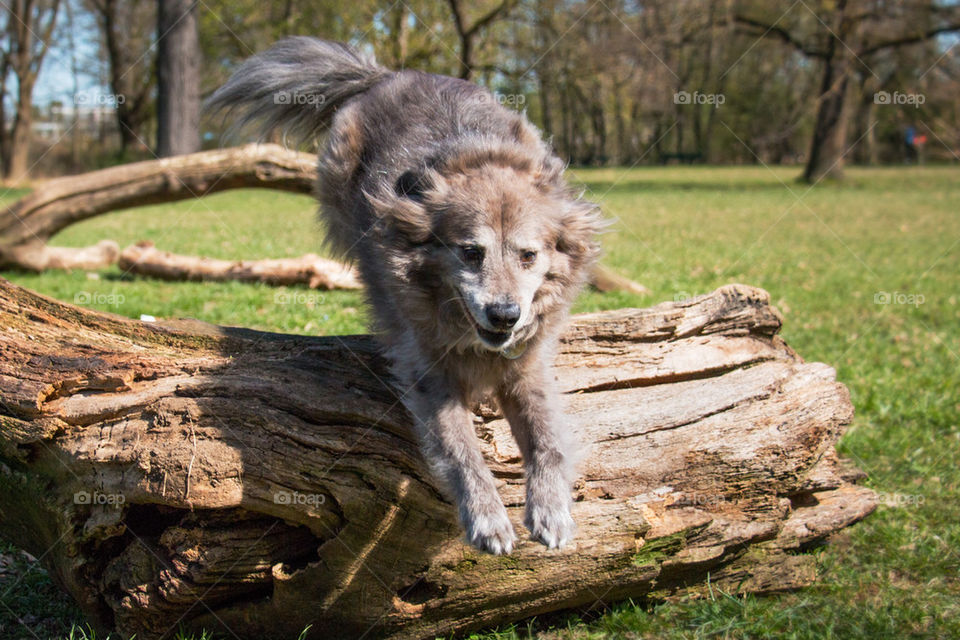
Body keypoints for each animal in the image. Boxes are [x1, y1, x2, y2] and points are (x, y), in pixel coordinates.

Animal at [208, 37, 600, 552]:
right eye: (470, 252)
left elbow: (547, 439)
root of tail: (391, 76)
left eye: (528, 255)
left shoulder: (527, 366)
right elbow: (462, 451)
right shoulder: (432, 376)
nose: (505, 315)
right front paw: (487, 517)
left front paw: (551, 508)